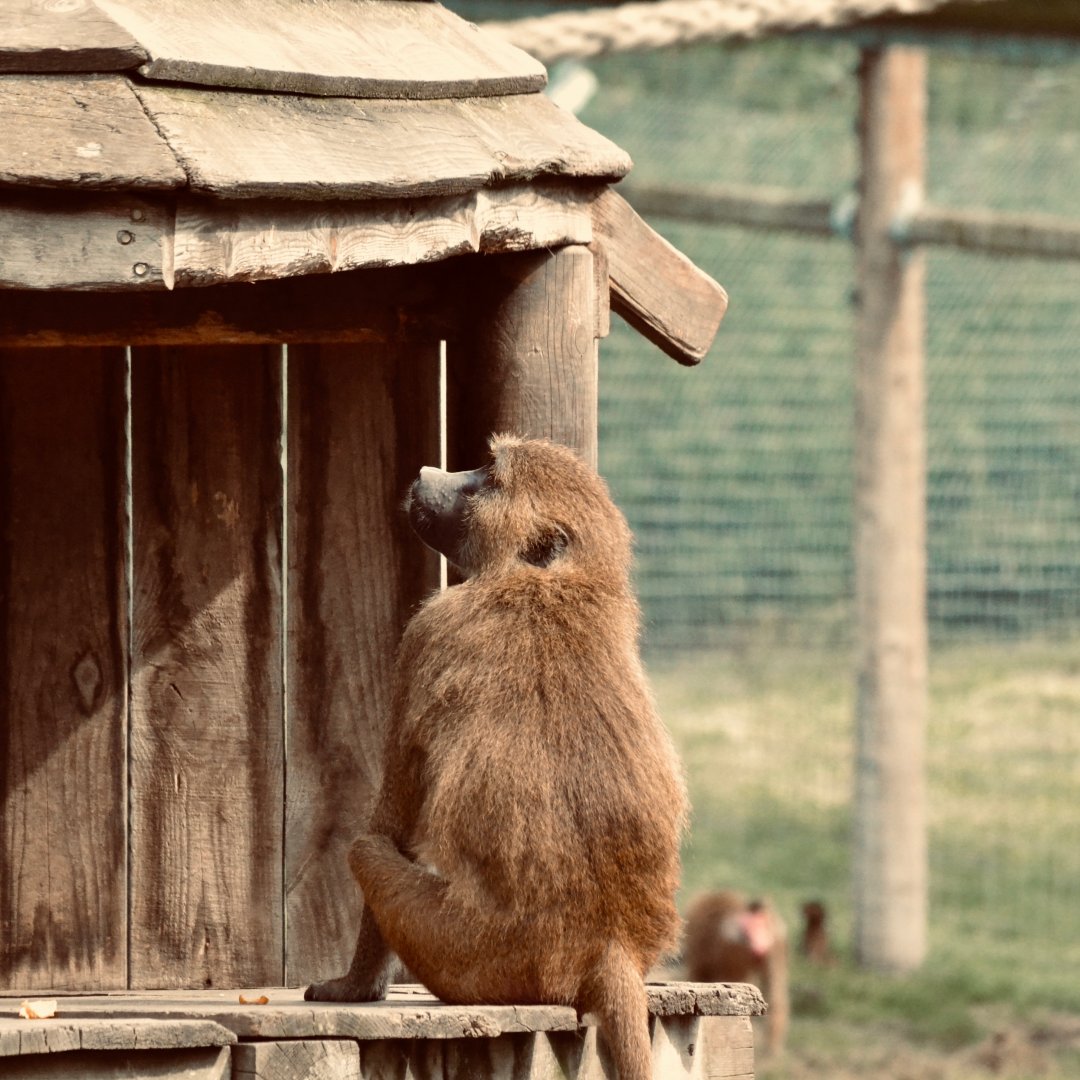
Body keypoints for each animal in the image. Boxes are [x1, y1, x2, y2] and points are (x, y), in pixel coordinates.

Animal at [305, 435, 688, 1080]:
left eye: (486, 477)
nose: (427, 473)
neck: (549, 581)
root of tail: (610, 941)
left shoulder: (427, 629)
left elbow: (393, 820)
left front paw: (352, 988)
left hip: (469, 955)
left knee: (367, 849)